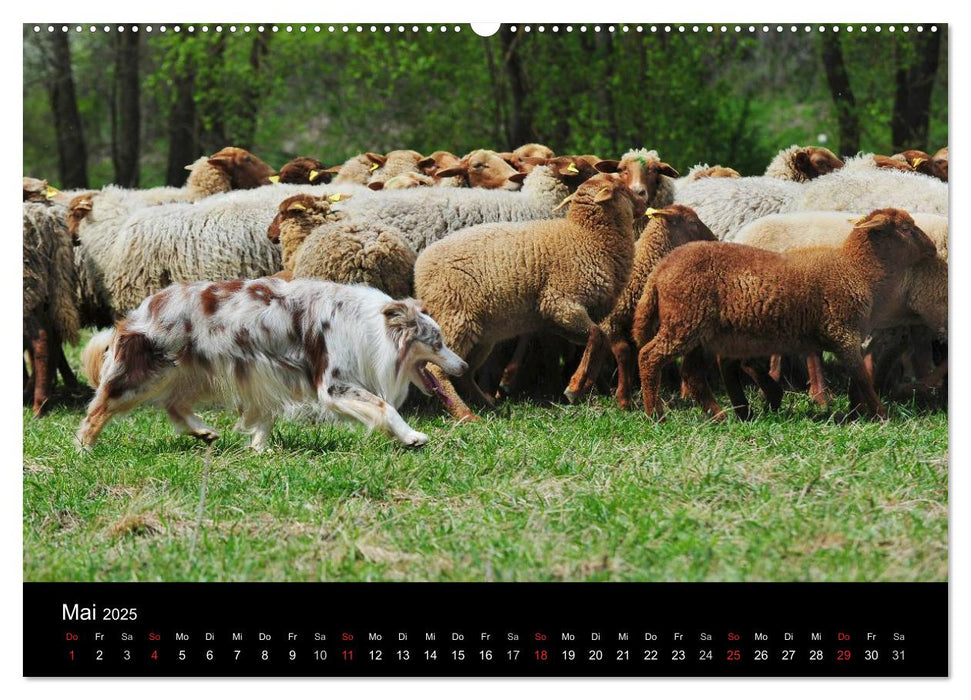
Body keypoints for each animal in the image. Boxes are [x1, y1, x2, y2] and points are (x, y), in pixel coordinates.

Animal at [416, 174, 644, 422]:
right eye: (621, 187)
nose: (643, 203)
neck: (588, 237)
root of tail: (420, 270)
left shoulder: (555, 320)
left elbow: (598, 339)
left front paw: (585, 383)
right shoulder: (561, 301)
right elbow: (596, 335)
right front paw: (574, 387)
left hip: (480, 334)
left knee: (464, 372)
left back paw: (489, 408)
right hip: (455, 317)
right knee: (436, 370)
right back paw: (466, 415)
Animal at [564, 202, 716, 408]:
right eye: (692, 221)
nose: (714, 239)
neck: (643, 265)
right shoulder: (611, 322)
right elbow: (624, 352)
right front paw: (623, 398)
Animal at [636, 206, 936, 422]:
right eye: (906, 228)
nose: (933, 247)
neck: (856, 269)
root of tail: (660, 270)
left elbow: (858, 375)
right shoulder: (844, 332)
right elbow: (861, 375)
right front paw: (882, 414)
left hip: (698, 330)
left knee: (693, 374)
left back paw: (721, 415)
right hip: (685, 323)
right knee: (650, 357)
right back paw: (656, 415)